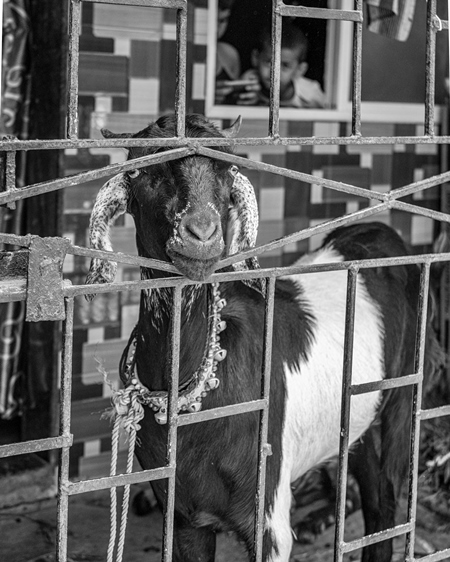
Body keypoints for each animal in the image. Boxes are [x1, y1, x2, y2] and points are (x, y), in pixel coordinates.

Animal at [85, 114, 432, 560]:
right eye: (143, 171)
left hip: (401, 396)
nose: (202, 234)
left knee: (387, 493)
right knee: (376, 497)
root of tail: (380, 232)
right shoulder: (182, 515)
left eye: (227, 169)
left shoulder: (268, 515)